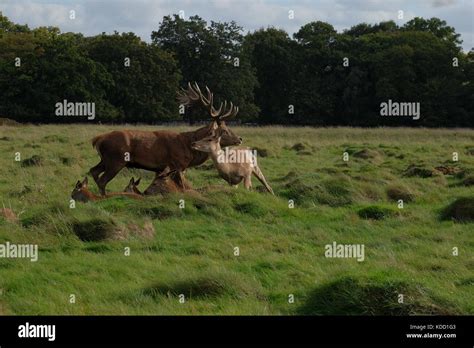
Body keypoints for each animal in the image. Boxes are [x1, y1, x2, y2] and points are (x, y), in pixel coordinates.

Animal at [90, 82, 241, 194]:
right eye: (224, 131)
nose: (240, 139)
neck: (189, 149)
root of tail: (97, 139)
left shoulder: (161, 168)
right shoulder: (178, 164)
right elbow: (182, 187)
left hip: (105, 159)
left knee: (93, 171)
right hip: (116, 159)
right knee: (102, 180)